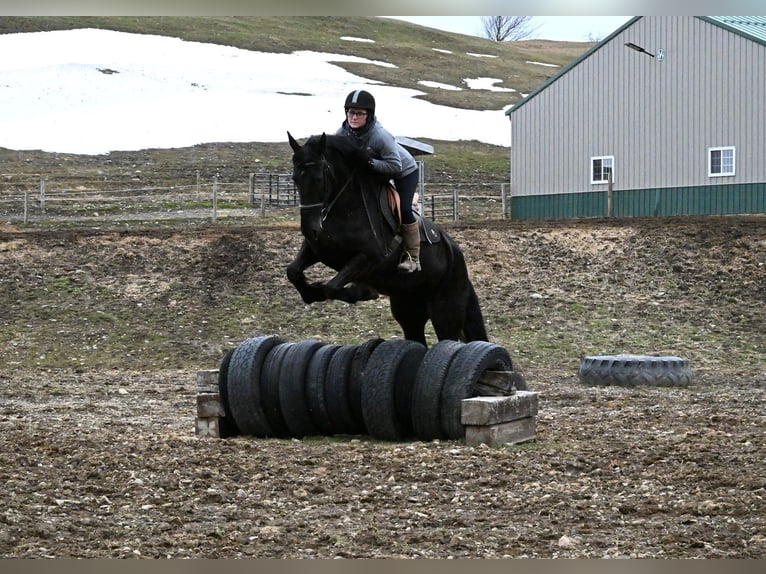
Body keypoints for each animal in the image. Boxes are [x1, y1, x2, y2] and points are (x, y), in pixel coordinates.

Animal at [286, 131, 488, 346]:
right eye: (295, 178)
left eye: (319, 178)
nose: (310, 229)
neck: (346, 208)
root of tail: (456, 254)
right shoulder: (318, 249)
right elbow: (293, 271)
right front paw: (312, 292)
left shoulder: (370, 257)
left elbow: (332, 287)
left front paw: (360, 292)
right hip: (408, 309)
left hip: (445, 312)